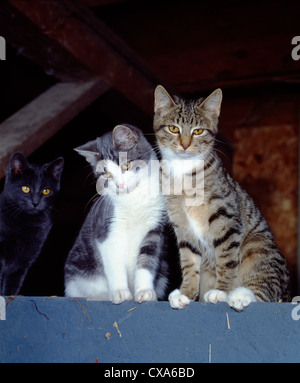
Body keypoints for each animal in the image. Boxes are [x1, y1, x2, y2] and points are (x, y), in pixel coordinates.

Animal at [64, 124, 169, 304]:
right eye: (106, 174)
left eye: (126, 166)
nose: (119, 184)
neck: (133, 198)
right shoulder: (107, 227)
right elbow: (113, 262)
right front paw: (120, 292)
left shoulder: (155, 227)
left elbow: (147, 258)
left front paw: (145, 291)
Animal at [154, 85, 290, 310]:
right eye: (173, 128)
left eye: (198, 131)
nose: (184, 145)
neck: (184, 172)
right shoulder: (181, 224)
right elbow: (189, 260)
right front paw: (186, 292)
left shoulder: (225, 217)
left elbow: (226, 257)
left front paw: (221, 291)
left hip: (257, 245)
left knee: (266, 292)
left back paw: (240, 295)